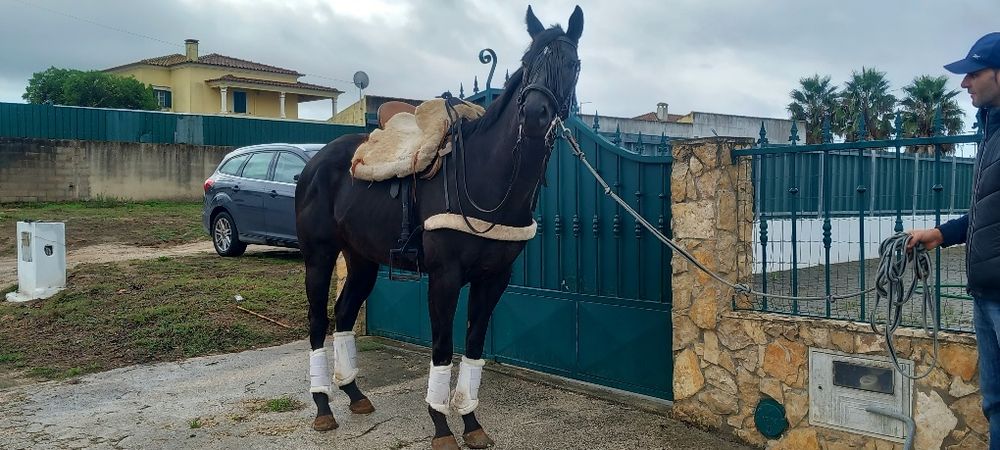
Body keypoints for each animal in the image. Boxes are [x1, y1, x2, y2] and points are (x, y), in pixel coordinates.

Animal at [294, 5, 583, 449]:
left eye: (571, 63)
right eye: (527, 61)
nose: (534, 115)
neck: (486, 176)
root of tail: (315, 162)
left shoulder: (494, 278)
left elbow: (474, 344)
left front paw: (471, 422)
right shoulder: (444, 277)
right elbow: (443, 347)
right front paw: (441, 425)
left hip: (361, 260)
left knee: (343, 314)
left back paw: (354, 394)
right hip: (320, 255)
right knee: (316, 321)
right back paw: (323, 406)